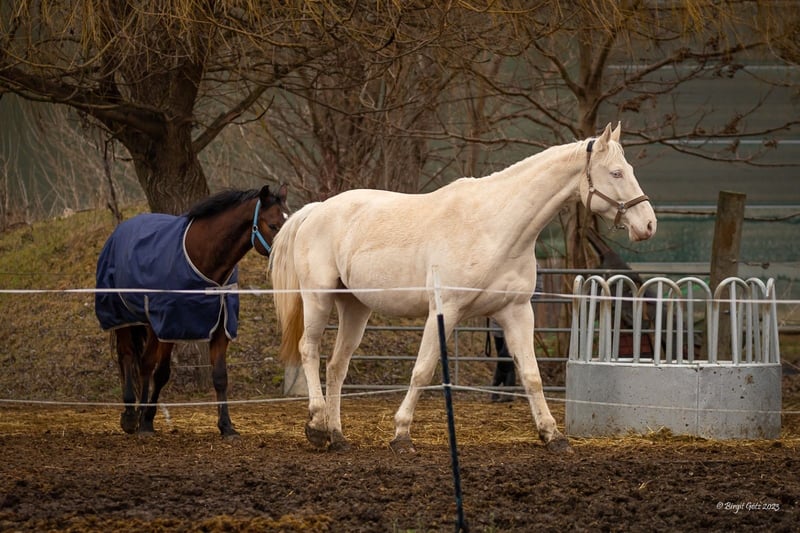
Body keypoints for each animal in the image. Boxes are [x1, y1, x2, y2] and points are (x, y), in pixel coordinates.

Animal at [95, 184, 288, 437]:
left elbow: (218, 376)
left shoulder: (216, 327)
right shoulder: (164, 324)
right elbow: (149, 367)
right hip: (123, 317)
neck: (203, 257)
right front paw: (144, 424)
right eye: (273, 225)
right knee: (128, 357)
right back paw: (130, 416)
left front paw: (226, 427)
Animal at [270, 123, 656, 453]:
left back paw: (337, 437)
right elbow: (422, 371)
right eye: (616, 173)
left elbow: (531, 375)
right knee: (309, 350)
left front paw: (553, 436)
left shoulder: (516, 313)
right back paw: (317, 426)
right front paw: (401, 435)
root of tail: (316, 210)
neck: (495, 228)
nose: (648, 225)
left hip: (355, 307)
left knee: (337, 366)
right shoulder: (445, 310)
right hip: (318, 298)